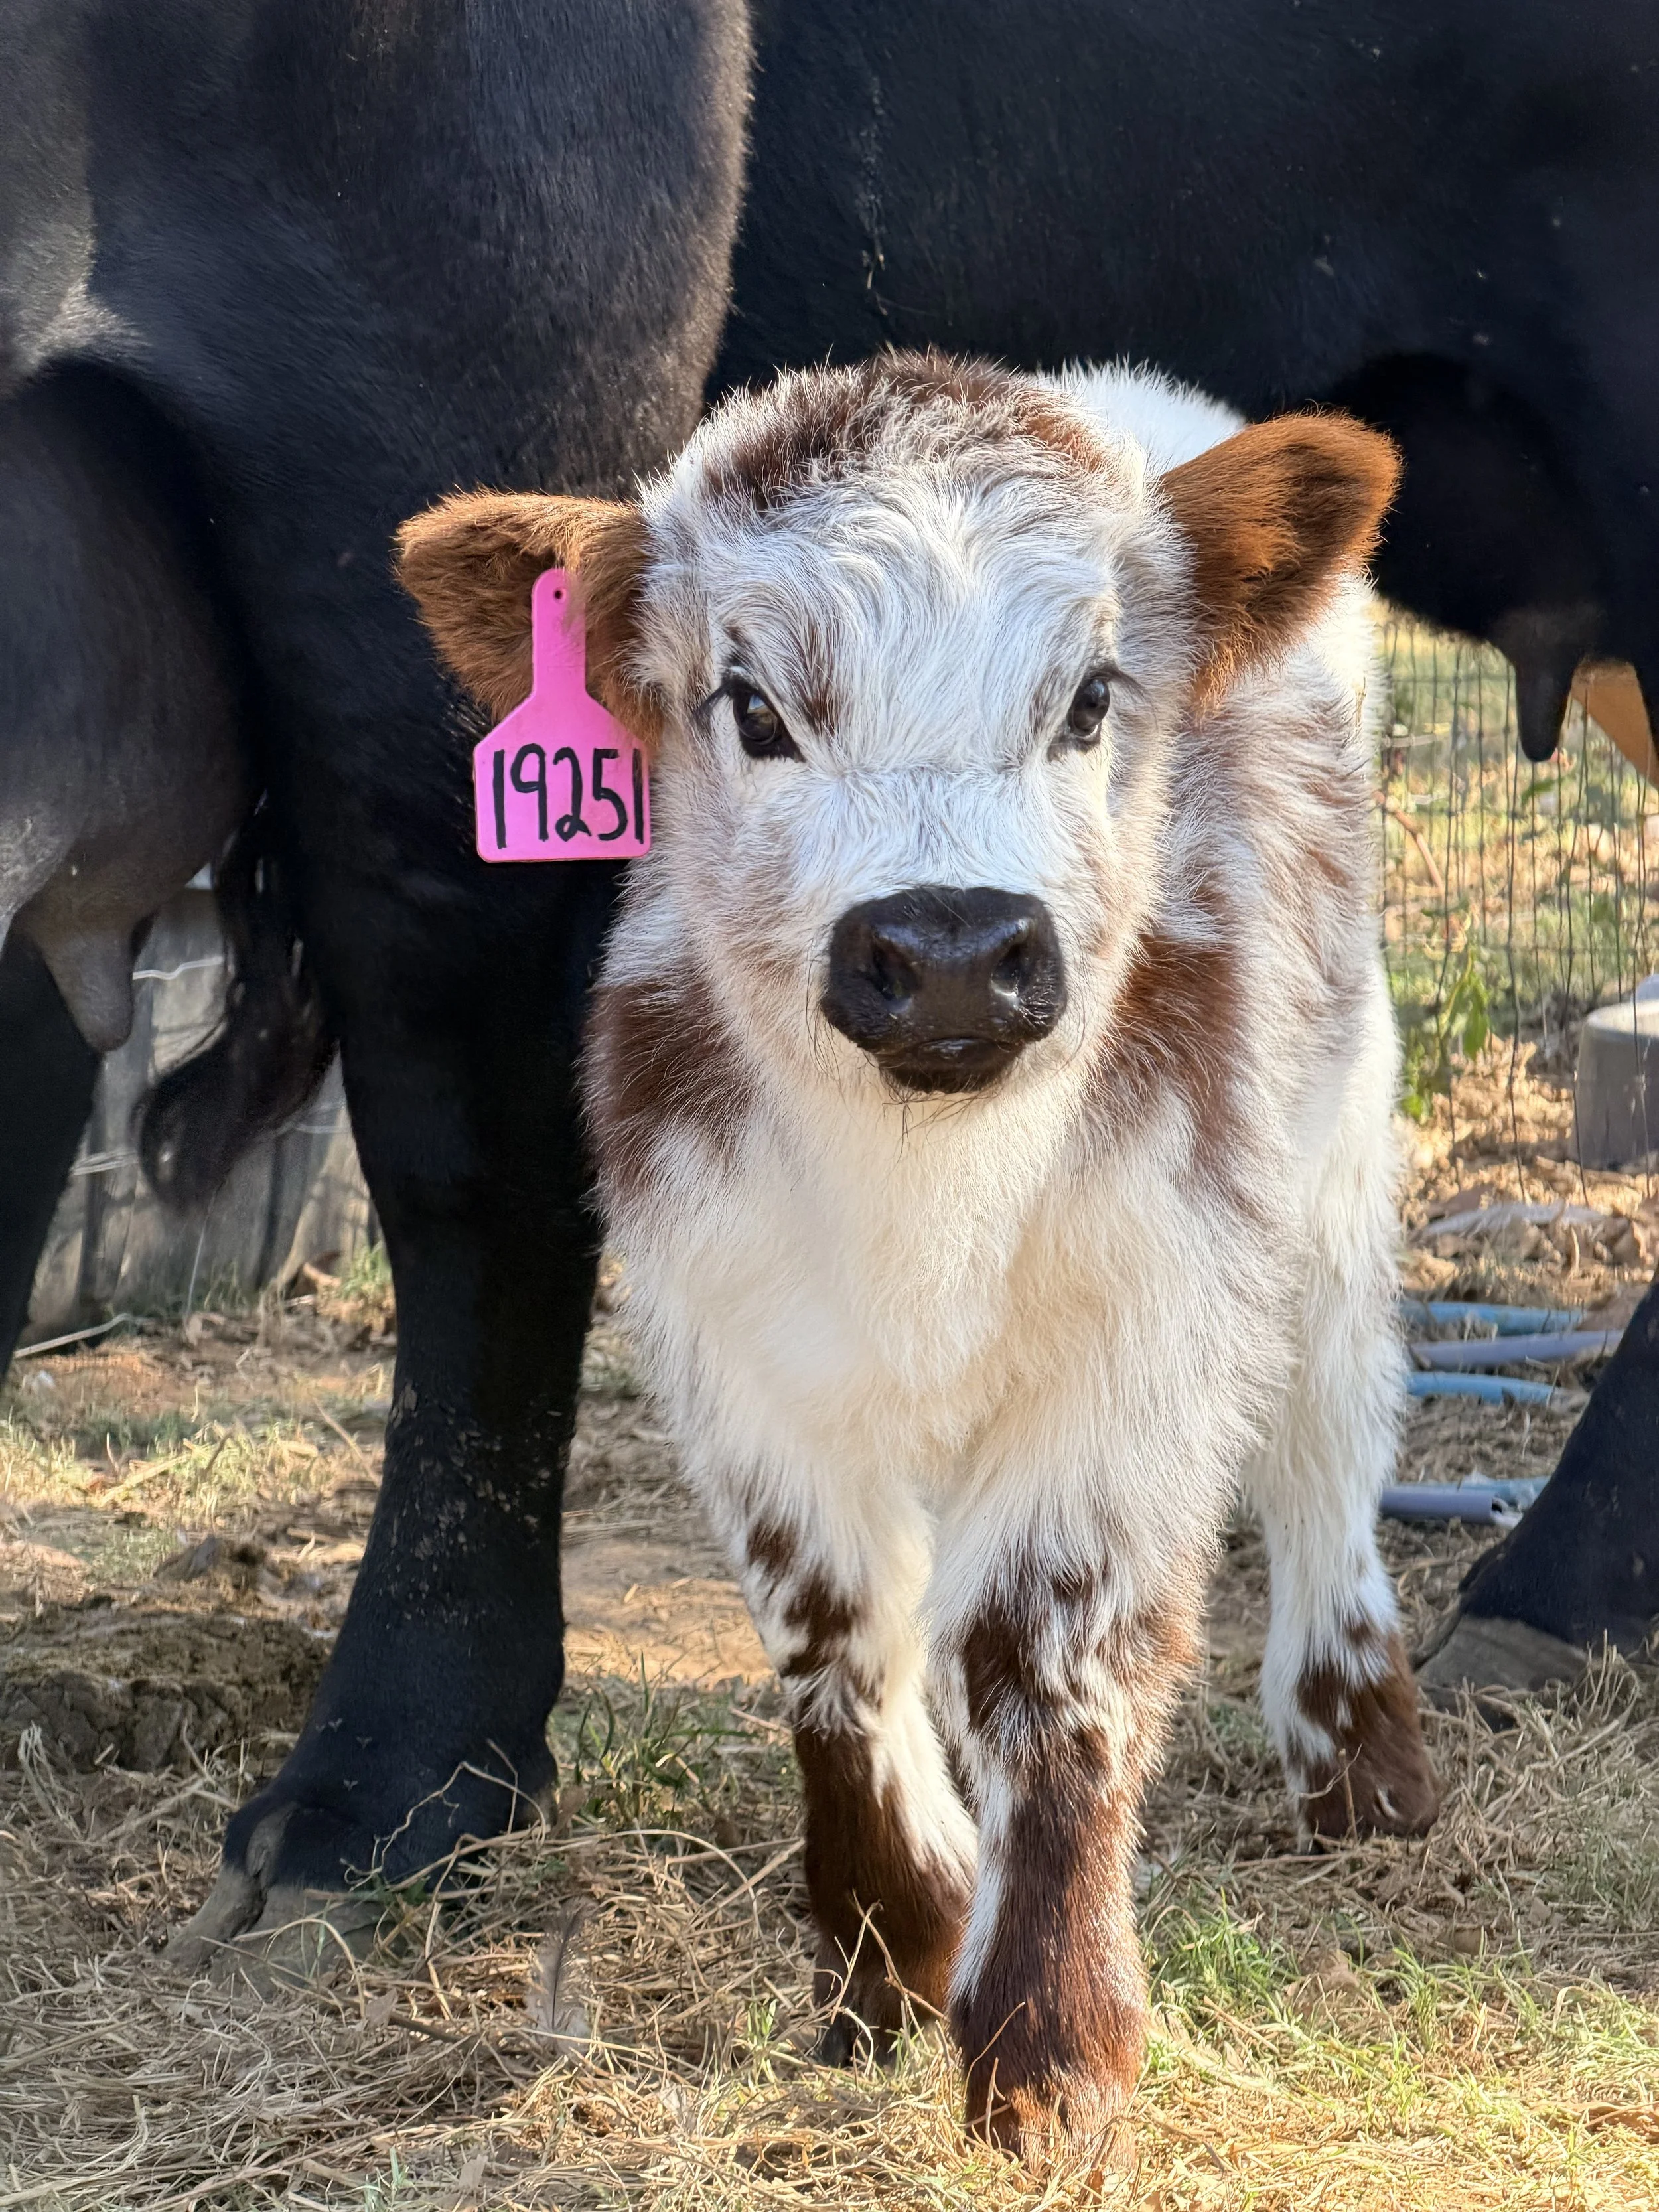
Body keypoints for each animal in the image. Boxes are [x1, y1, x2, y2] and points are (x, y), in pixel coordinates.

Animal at [397, 352, 1439, 2163]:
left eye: (1089, 696)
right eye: (749, 704)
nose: (949, 950)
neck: (923, 1208)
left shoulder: (1151, 1322)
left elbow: (1043, 1644)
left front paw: (1048, 2044)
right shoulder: (726, 1330)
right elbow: (834, 1628)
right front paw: (892, 1947)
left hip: (1332, 1133)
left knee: (1328, 1431)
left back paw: (1355, 1747)